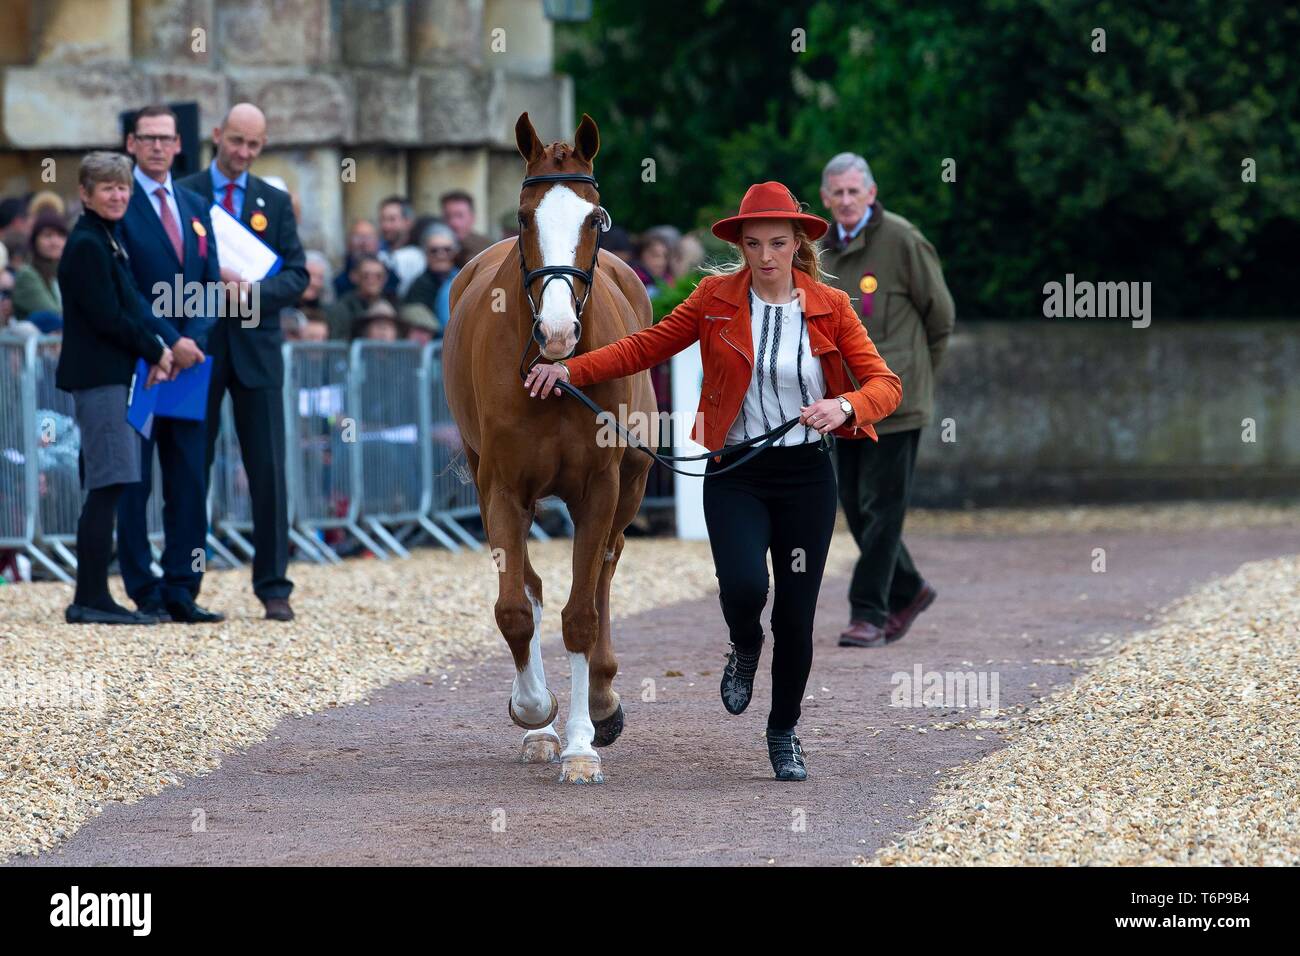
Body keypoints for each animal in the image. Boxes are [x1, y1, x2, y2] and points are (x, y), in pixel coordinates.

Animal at [442, 112, 657, 784]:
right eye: (522, 217)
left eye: (595, 218)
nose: (558, 330)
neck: (558, 376)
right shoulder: (503, 487)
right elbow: (515, 607)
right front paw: (536, 712)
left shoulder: (600, 487)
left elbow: (582, 613)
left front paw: (584, 743)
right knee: (534, 586)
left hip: (632, 483)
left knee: (607, 566)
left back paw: (603, 700)